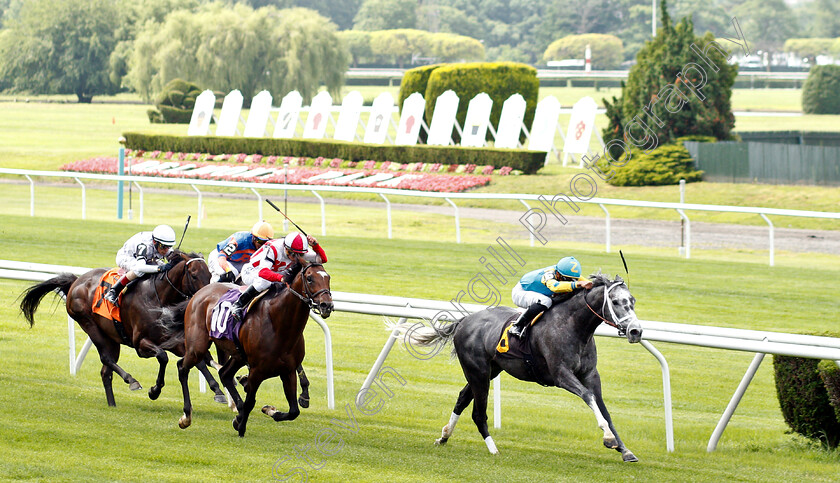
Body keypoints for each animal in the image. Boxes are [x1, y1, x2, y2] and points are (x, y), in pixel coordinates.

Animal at [19, 251, 228, 406]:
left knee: (105, 371)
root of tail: (76, 282)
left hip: (111, 339)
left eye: (210, 274)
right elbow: (163, 357)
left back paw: (112, 405)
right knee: (106, 358)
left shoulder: (173, 341)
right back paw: (131, 380)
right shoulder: (141, 344)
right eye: (193, 274)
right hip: (90, 325)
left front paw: (218, 391)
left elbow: (197, 360)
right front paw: (154, 390)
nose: (208, 296)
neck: (159, 298)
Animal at [162, 262, 334, 436]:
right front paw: (241, 428)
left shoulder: (288, 371)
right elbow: (250, 402)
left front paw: (268, 410)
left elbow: (293, 411)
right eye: (310, 278)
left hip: (237, 355)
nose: (327, 305)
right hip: (197, 346)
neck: (279, 324)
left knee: (224, 373)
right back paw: (186, 416)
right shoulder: (257, 371)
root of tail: (199, 292)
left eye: (328, 277)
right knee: (183, 368)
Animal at [400, 274, 644, 464]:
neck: (573, 326)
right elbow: (587, 396)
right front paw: (609, 439)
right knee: (478, 413)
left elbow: (604, 409)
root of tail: (465, 320)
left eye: (632, 300)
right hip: (477, 372)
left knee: (462, 398)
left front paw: (625, 450)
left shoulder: (591, 374)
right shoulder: (561, 374)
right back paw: (493, 449)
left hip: (489, 371)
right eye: (615, 301)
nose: (636, 331)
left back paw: (444, 436)